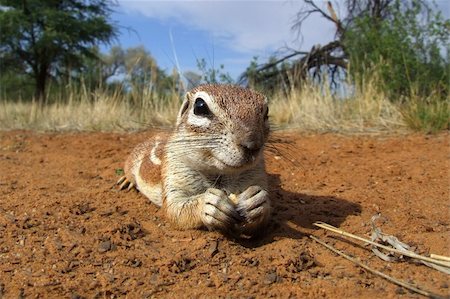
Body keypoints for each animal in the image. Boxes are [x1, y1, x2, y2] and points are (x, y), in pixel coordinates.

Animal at [118, 84, 270, 237]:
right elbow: (174, 210)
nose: (252, 144)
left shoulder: (257, 174)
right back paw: (126, 180)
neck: (218, 173)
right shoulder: (174, 173)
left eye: (267, 111)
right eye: (200, 106)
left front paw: (256, 201)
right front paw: (210, 204)